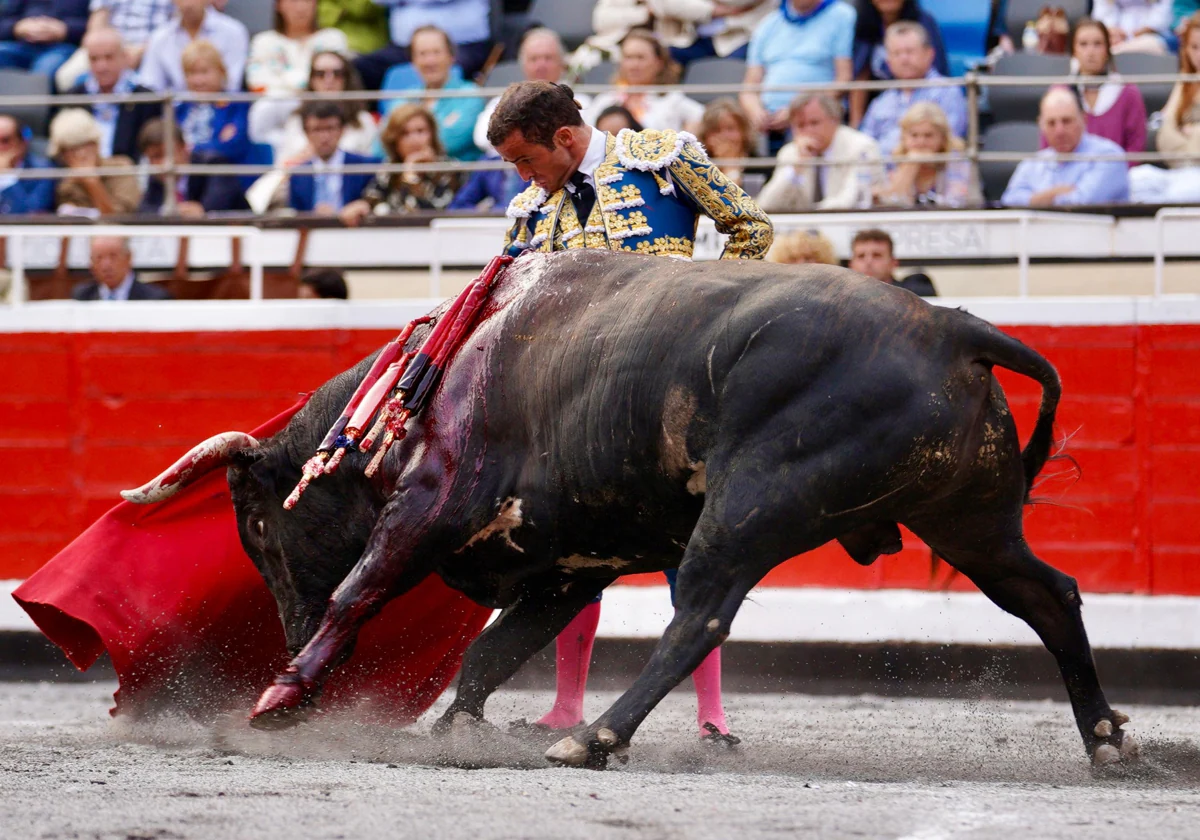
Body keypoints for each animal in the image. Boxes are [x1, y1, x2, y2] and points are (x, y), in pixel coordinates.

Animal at [126, 250, 1137, 768]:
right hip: (970, 519)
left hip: (753, 505)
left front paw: (278, 699)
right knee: (1049, 596)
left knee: (702, 618)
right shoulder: (571, 566)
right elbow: (496, 649)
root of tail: (955, 329)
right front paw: (456, 732)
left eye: (257, 526)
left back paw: (596, 738)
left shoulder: (431, 504)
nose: (283, 632)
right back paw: (1106, 740)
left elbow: (360, 594)